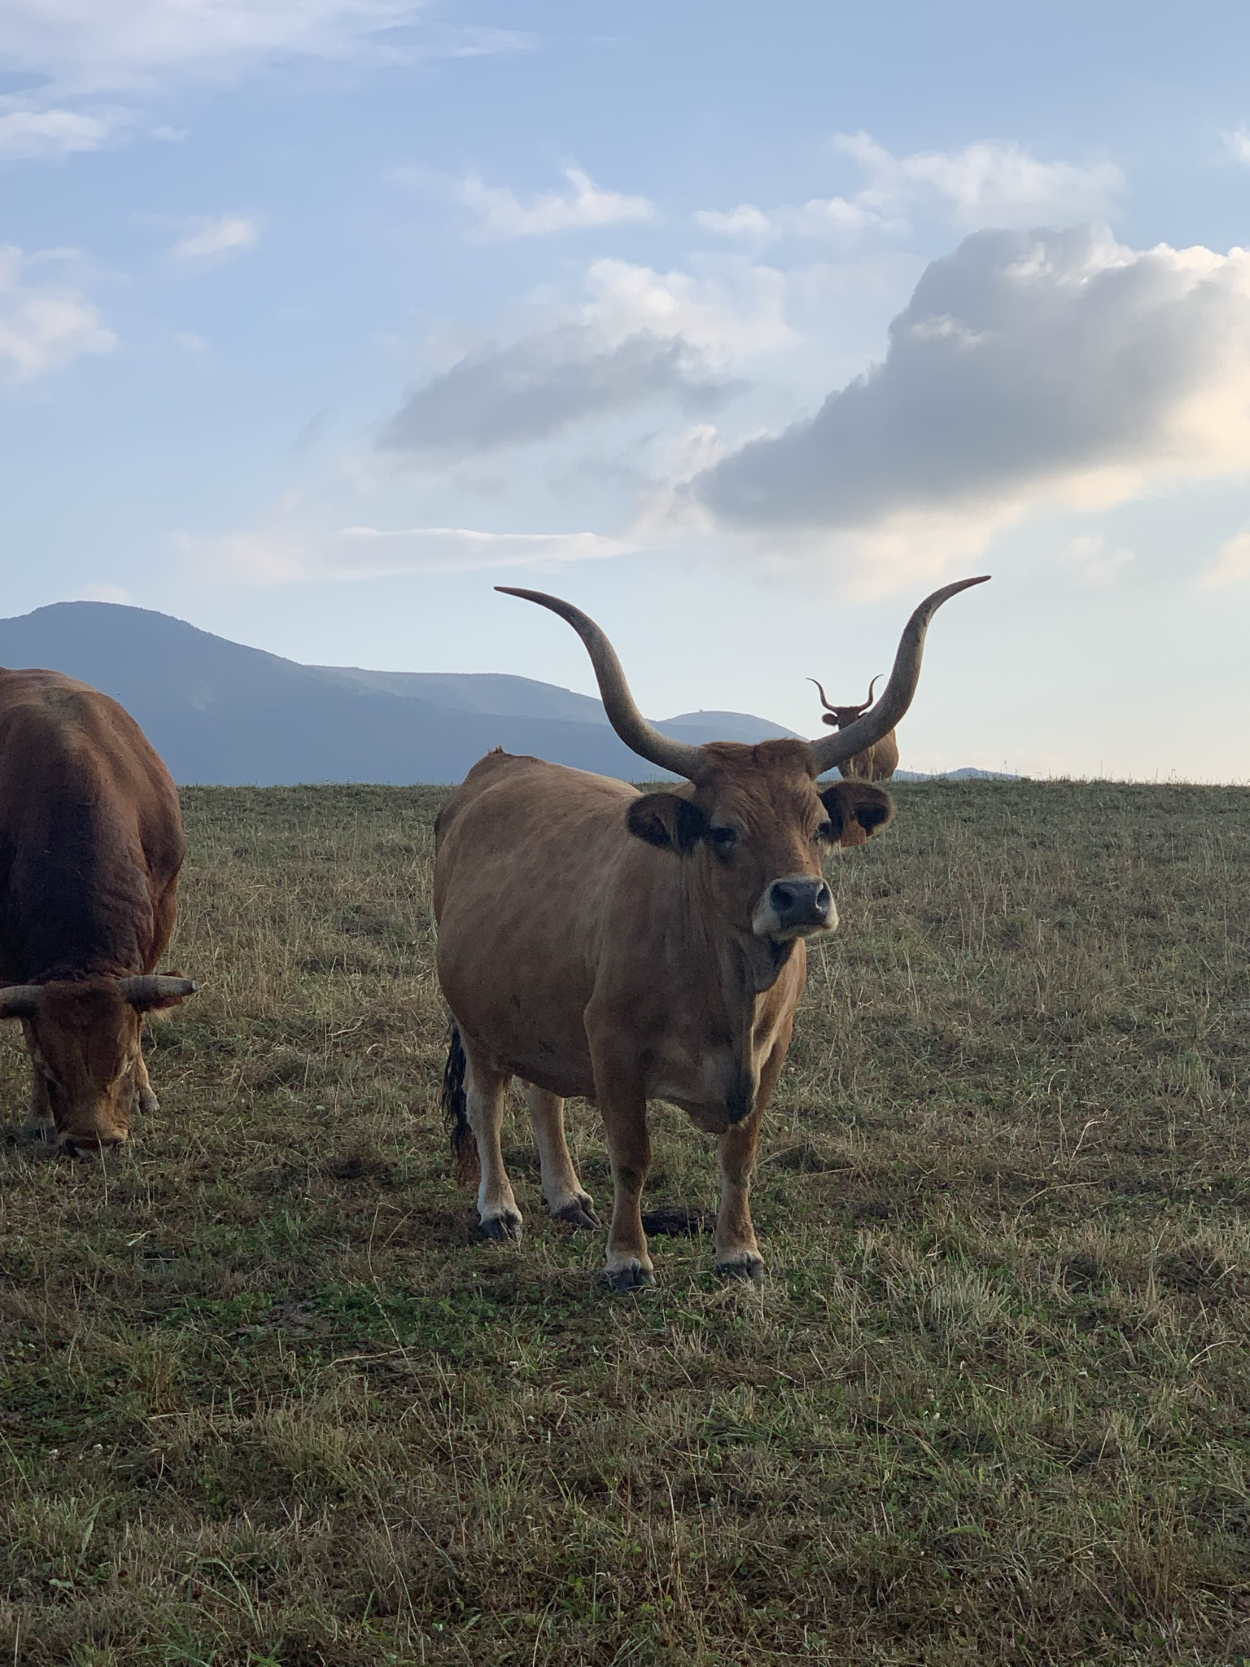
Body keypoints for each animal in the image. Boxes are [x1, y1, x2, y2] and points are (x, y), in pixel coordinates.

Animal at [0, 670, 196, 1153]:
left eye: (123, 1062)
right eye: (50, 1068)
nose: (93, 1141)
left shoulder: (164, 904)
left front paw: (145, 1093)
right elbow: (28, 1027)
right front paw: (37, 1116)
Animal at [436, 580, 993, 1293]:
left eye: (819, 825)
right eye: (724, 831)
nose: (801, 897)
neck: (724, 984)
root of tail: (498, 765)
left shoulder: (772, 1051)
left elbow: (740, 1155)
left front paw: (738, 1252)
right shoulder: (612, 1048)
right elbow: (632, 1157)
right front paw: (627, 1259)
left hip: (539, 1003)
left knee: (543, 1094)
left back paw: (566, 1196)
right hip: (473, 1016)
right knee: (487, 1102)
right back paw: (499, 1209)